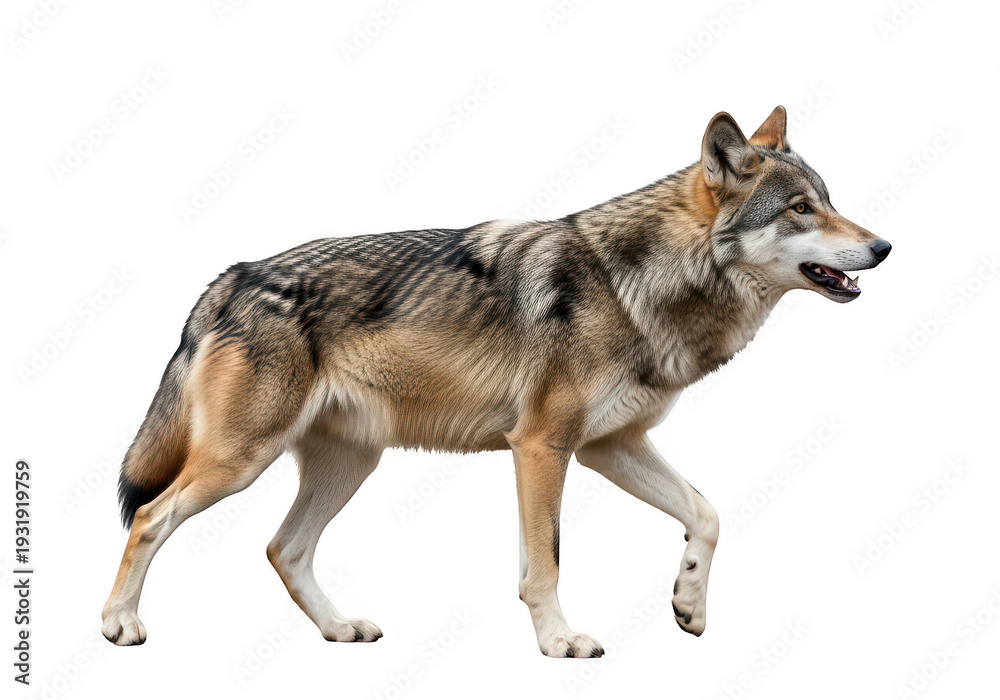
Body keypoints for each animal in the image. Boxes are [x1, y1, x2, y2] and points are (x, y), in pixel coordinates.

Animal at [102, 106, 891, 656]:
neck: (635, 285)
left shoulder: (608, 446)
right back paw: (119, 624)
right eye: (800, 209)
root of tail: (231, 276)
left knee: (282, 548)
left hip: (348, 465)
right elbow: (545, 562)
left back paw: (340, 630)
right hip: (239, 462)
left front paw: (688, 604)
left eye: (828, 199)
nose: (884, 246)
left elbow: (707, 514)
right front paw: (560, 643)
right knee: (150, 517)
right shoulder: (542, 446)